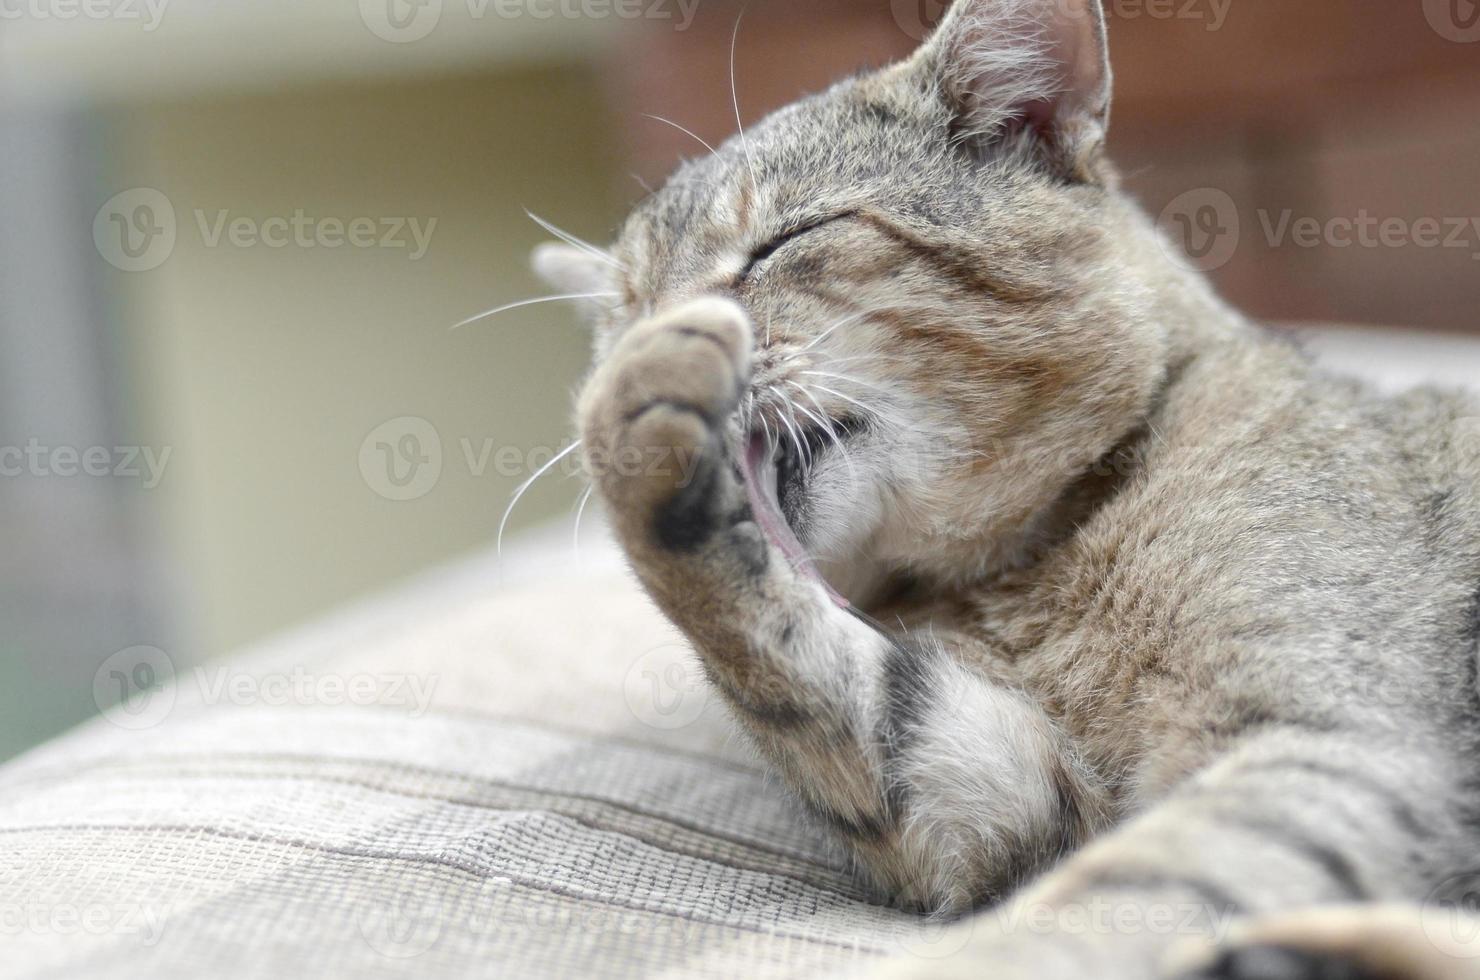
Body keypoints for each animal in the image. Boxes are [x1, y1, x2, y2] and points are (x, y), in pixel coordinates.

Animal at [532, 3, 1480, 977]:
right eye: (621, 312)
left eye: (783, 242)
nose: (646, 330)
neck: (1024, 572)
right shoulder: (1006, 793)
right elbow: (801, 667)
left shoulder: (1330, 734)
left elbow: (1111, 901)